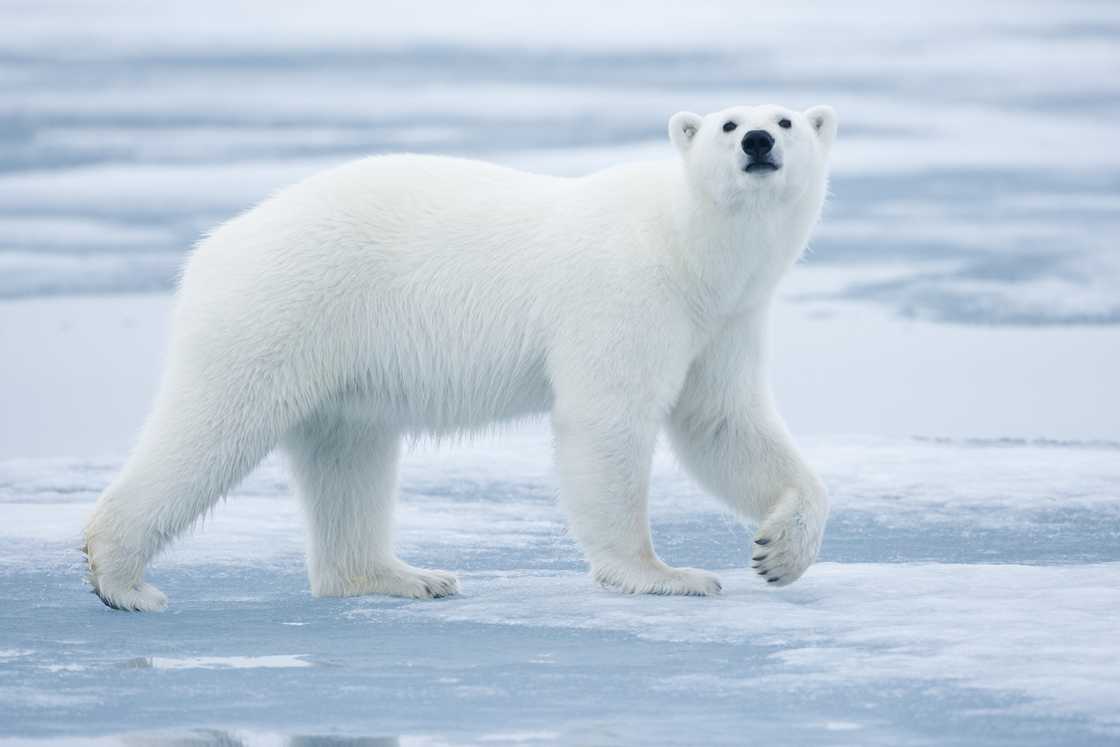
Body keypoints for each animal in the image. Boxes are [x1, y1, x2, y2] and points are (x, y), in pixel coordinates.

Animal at [87, 105, 837, 609]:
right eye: (727, 123)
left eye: (788, 119)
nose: (760, 141)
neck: (685, 248)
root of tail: (215, 245)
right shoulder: (627, 293)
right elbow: (609, 423)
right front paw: (665, 575)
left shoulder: (723, 320)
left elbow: (722, 424)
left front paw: (779, 552)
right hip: (278, 309)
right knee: (212, 428)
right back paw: (121, 576)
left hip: (335, 359)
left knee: (348, 459)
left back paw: (402, 575)